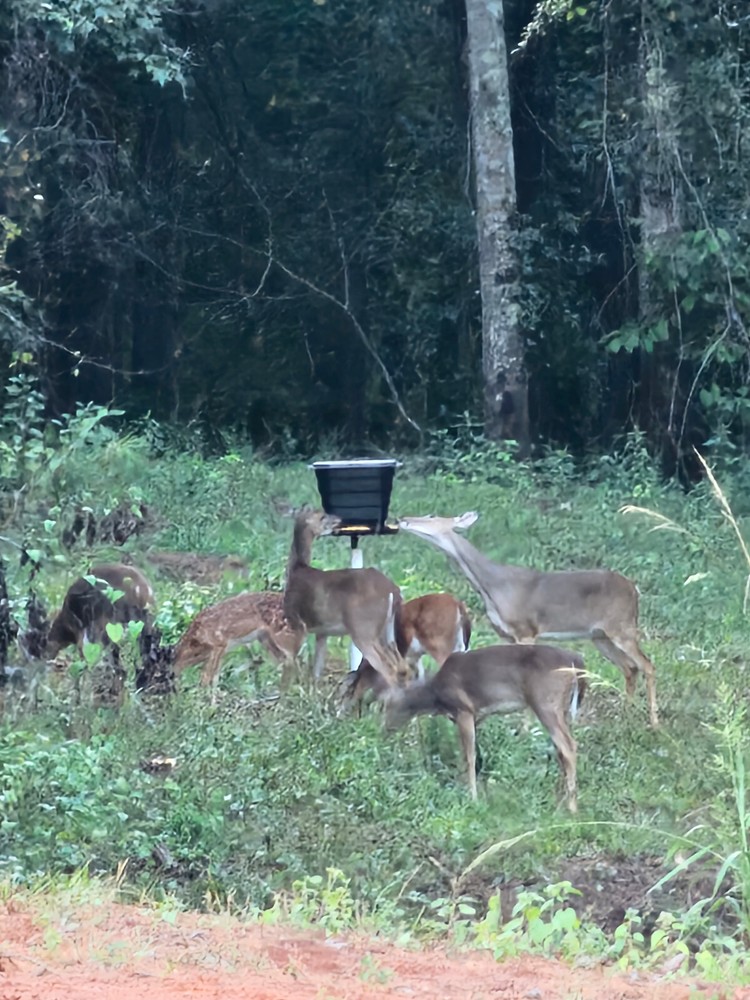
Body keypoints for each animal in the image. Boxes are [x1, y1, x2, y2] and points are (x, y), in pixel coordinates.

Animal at [173, 591, 306, 698]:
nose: (175, 695)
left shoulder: (219, 643)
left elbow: (206, 677)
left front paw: (201, 702)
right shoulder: (220, 651)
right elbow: (215, 677)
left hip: (284, 635)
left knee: (294, 660)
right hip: (265, 637)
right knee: (288, 661)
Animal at [282, 508, 409, 688]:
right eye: (322, 516)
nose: (338, 518)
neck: (296, 569)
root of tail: (394, 590)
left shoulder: (295, 621)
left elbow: (291, 661)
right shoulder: (322, 631)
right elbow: (316, 670)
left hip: (363, 628)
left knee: (388, 668)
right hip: (388, 629)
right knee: (402, 666)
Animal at [337, 592, 472, 712]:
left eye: (345, 692)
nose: (339, 710)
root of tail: (459, 604)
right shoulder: (414, 657)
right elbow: (418, 679)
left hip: (439, 645)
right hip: (459, 646)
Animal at [384, 643, 586, 810]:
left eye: (387, 705)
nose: (384, 729)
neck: (437, 697)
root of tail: (577, 661)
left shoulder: (464, 709)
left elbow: (470, 756)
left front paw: (472, 798)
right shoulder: (475, 717)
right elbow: (466, 755)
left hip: (545, 703)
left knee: (568, 746)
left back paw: (572, 808)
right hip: (562, 709)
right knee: (560, 749)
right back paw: (561, 801)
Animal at [397, 512, 658, 728]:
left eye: (431, 516)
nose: (403, 519)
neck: (493, 586)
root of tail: (634, 590)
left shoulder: (526, 630)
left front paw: (525, 729)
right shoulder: (507, 634)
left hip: (622, 627)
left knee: (647, 664)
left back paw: (654, 722)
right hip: (600, 636)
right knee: (630, 668)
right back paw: (626, 713)